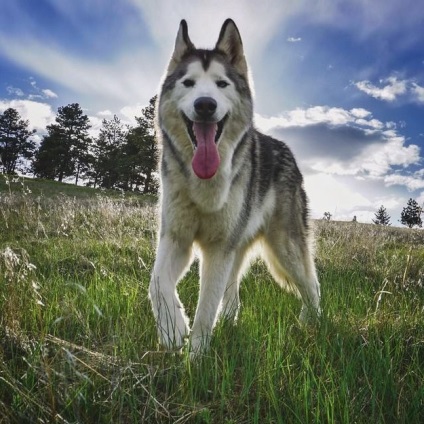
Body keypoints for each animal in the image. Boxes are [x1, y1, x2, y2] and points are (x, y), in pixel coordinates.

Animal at [151, 18, 320, 352]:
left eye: (221, 84)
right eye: (188, 83)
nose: (205, 105)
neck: (205, 185)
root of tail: (288, 151)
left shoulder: (219, 249)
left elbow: (206, 310)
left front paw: (195, 357)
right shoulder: (176, 238)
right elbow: (157, 284)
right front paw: (173, 329)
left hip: (285, 247)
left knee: (312, 284)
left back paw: (314, 324)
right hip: (240, 246)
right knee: (232, 294)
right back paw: (230, 321)